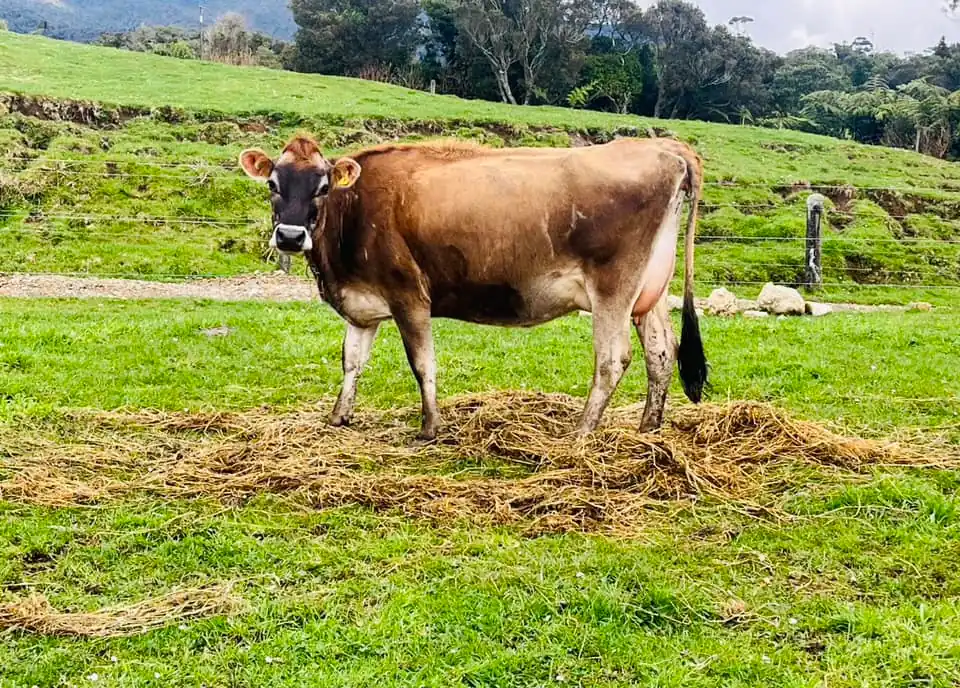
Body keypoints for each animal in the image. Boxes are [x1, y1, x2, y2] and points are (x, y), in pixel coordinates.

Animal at [239, 134, 707, 441]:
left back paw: (580, 434)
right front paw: (339, 417)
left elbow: (422, 362)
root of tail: (664, 146)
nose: (290, 237)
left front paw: (430, 427)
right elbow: (352, 361)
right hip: (649, 291)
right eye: (273, 184)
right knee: (661, 351)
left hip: (614, 286)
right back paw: (648, 429)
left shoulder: (408, 293)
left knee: (612, 359)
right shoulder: (363, 304)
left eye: (322, 187)